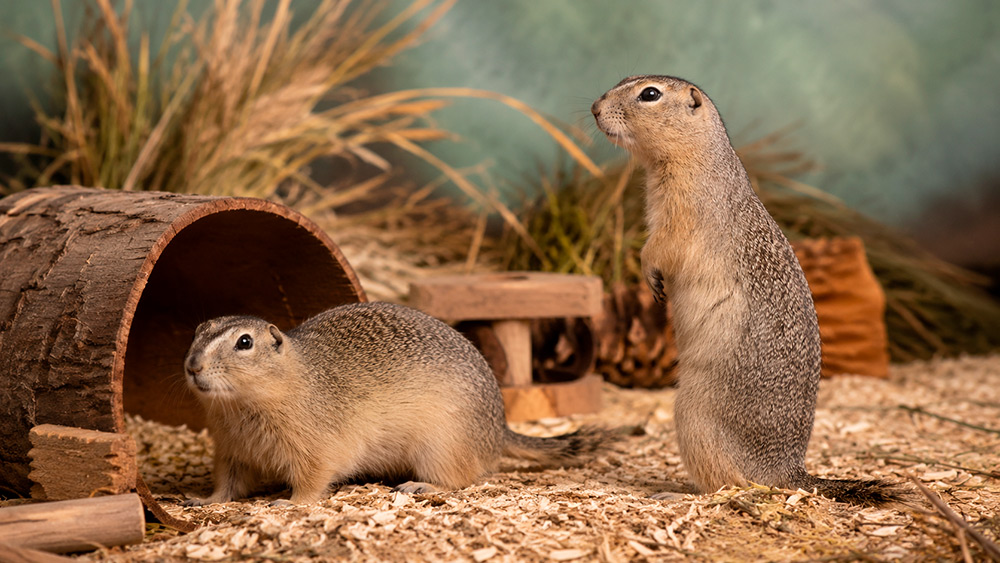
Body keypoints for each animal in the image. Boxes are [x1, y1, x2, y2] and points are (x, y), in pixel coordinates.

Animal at [181, 301, 610, 505]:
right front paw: (201, 500)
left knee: (463, 480)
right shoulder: (231, 452)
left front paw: (287, 505)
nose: (192, 365)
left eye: (244, 342)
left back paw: (419, 486)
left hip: (439, 448)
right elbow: (227, 486)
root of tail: (500, 431)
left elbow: (310, 485)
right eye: (199, 330)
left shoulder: (316, 453)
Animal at [591, 75, 899, 506]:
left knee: (729, 484)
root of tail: (787, 470)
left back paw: (676, 495)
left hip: (692, 415)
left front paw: (649, 274)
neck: (698, 157)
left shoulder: (682, 215)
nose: (594, 108)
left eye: (649, 94)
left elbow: (658, 247)